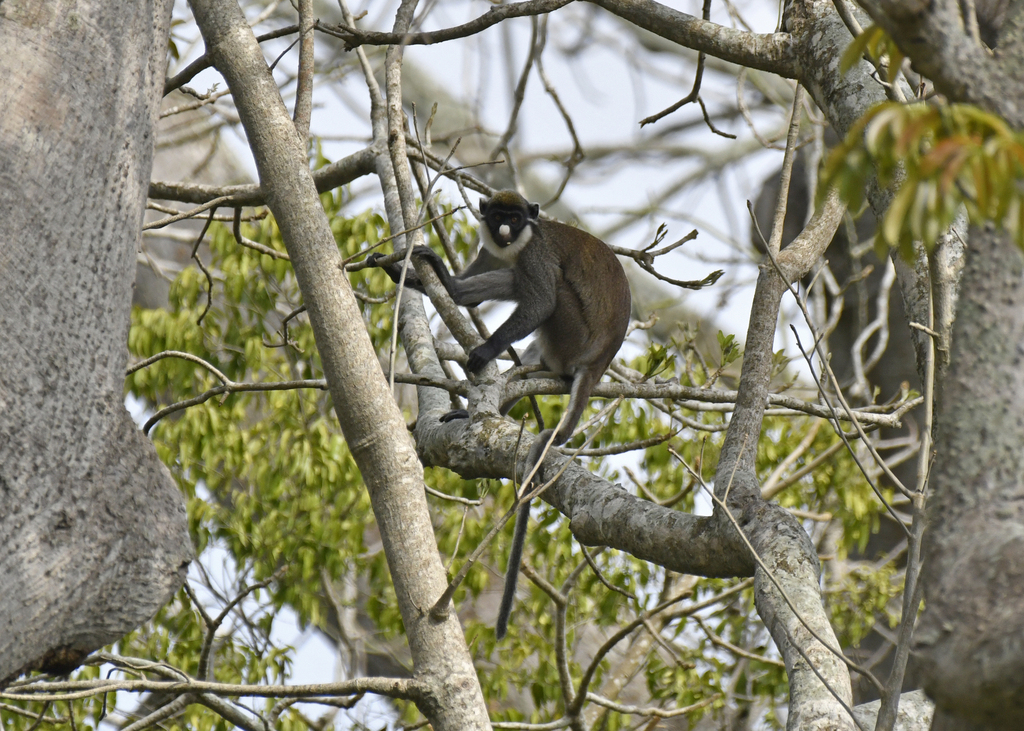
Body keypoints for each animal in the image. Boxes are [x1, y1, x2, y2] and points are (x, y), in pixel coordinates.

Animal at [369, 190, 631, 638]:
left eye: (516, 217)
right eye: (497, 217)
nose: (506, 229)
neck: (517, 242)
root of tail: (597, 363)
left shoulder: (535, 254)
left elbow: (541, 301)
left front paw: (486, 349)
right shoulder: (492, 251)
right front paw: (419, 275)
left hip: (569, 333)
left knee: (538, 290)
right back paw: (453, 291)